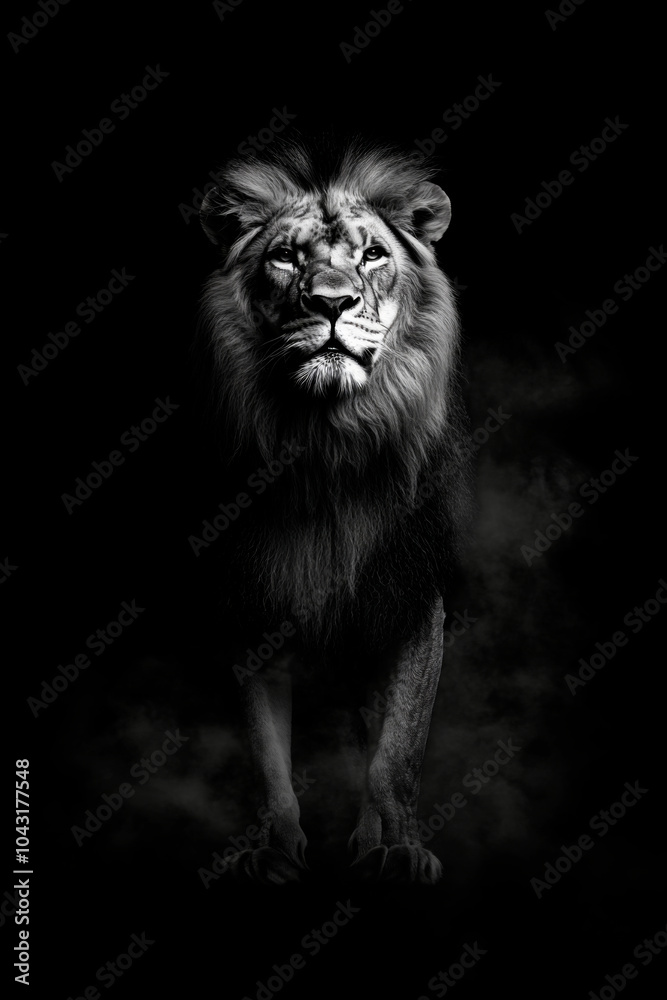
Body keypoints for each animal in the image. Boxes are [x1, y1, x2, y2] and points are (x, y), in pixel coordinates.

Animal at [197, 137, 472, 884]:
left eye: (372, 254)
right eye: (285, 257)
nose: (331, 303)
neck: (327, 444)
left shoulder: (412, 600)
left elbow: (394, 757)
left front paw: (400, 852)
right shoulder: (252, 607)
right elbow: (268, 757)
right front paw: (274, 851)